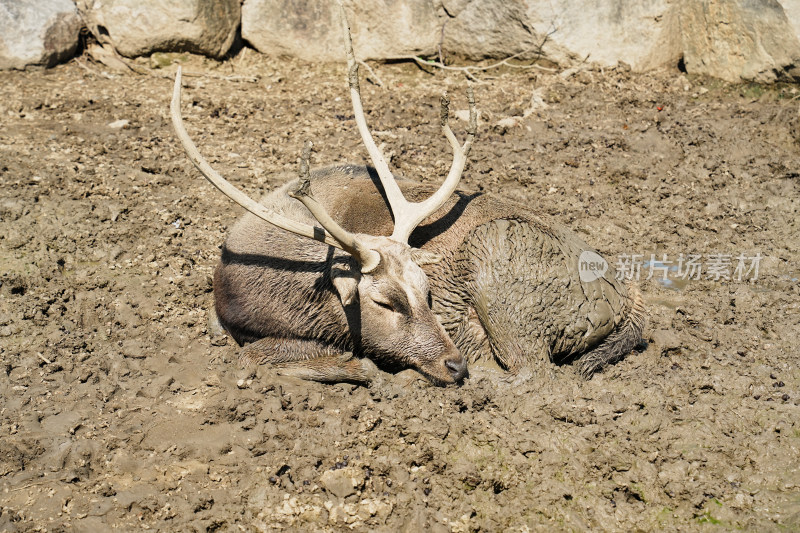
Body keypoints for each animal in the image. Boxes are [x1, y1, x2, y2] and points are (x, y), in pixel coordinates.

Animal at [169, 5, 644, 386]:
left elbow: (253, 359)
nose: (455, 365)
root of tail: (628, 303)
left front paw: (361, 368)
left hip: (497, 255)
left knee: (536, 373)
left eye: (428, 290)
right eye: (385, 302)